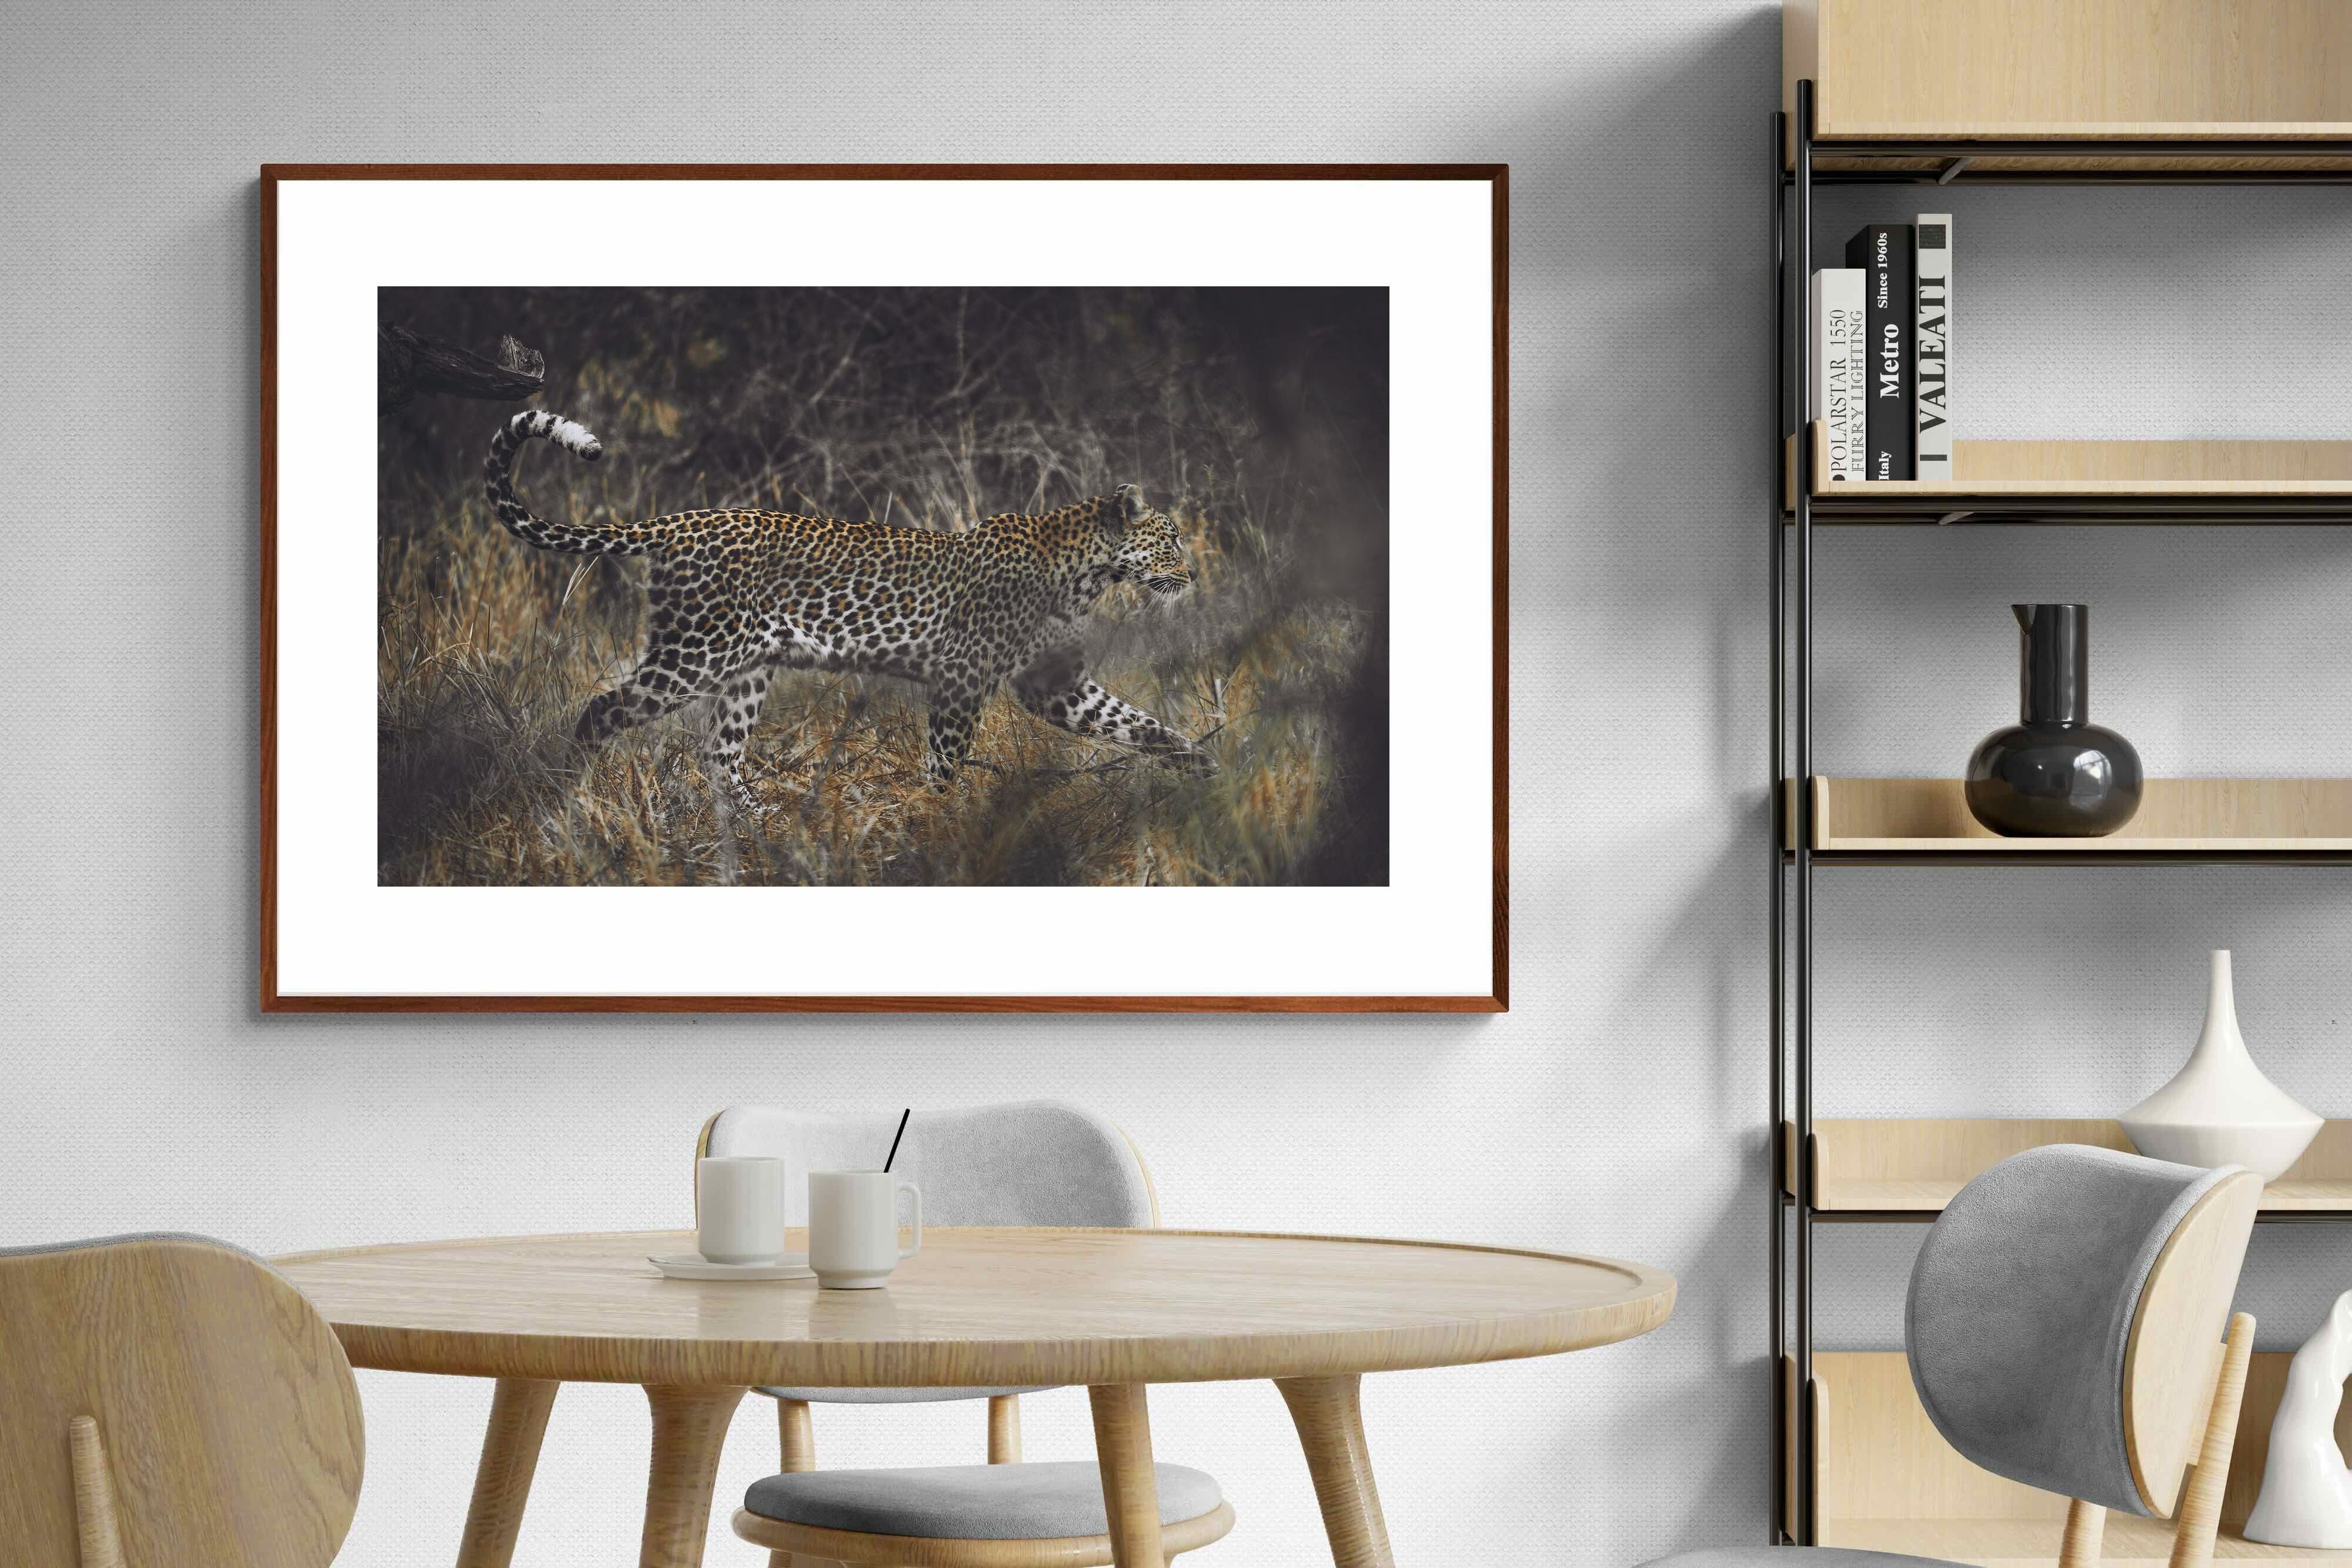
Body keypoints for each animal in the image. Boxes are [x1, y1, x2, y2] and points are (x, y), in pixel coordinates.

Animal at [481, 409, 1214, 876]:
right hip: (696, 652)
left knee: (720, 754)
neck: (1087, 572)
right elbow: (945, 761)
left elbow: (1135, 722)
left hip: (748, 667)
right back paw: (568, 803)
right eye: (1170, 538)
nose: (1193, 575)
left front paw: (1203, 766)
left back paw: (772, 825)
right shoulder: (963, 677)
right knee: (603, 710)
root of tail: (681, 520)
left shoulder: (1053, 686)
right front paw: (936, 826)